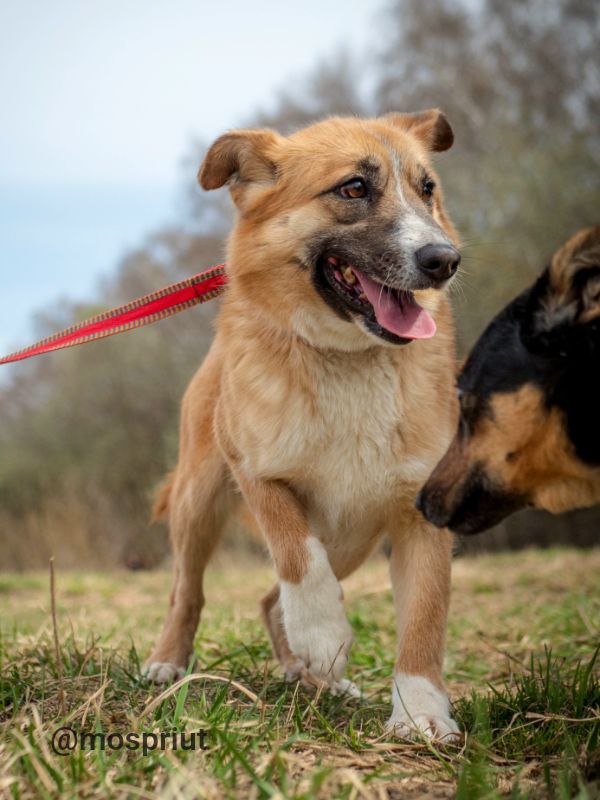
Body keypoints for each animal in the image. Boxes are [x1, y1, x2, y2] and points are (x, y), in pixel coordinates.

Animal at [148, 111, 462, 736]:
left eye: (427, 189)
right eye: (354, 188)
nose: (444, 261)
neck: (348, 360)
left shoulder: (423, 512)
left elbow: (424, 616)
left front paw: (419, 712)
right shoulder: (255, 471)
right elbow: (296, 554)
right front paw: (321, 632)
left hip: (352, 539)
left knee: (270, 603)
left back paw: (311, 675)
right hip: (199, 504)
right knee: (186, 593)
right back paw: (171, 662)